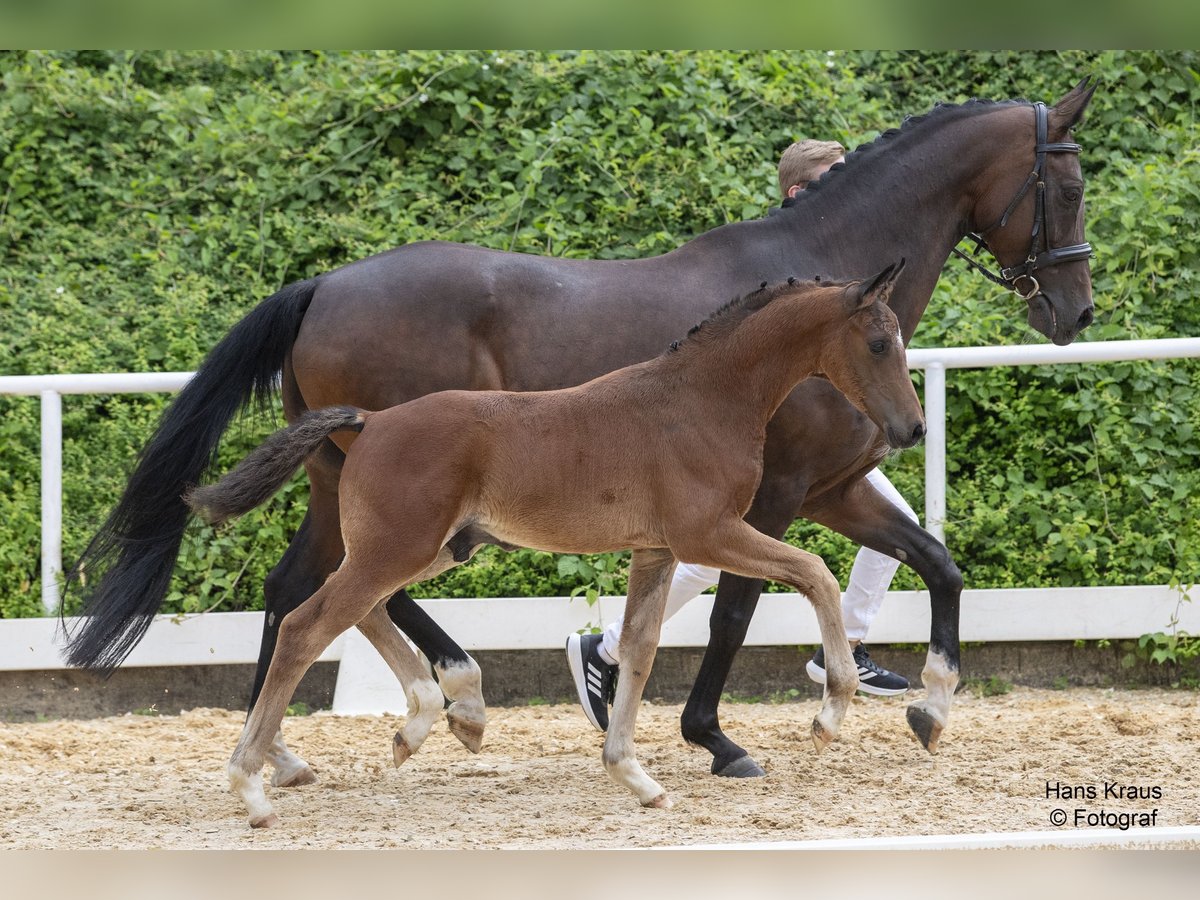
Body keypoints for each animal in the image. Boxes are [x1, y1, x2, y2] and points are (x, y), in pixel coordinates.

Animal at [187, 264, 921, 830]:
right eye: (879, 343)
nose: (910, 429)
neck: (702, 399)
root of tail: (372, 422)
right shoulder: (709, 533)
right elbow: (815, 572)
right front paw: (831, 712)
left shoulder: (657, 550)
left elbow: (640, 648)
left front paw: (635, 777)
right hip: (399, 547)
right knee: (308, 625)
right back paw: (253, 786)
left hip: (427, 548)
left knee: (358, 609)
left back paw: (422, 721)